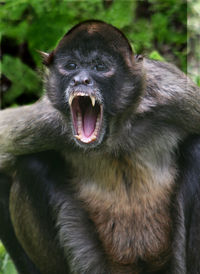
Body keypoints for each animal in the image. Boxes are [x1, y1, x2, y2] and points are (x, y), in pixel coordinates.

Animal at [0, 20, 200, 272]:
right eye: (71, 66)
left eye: (100, 66)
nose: (80, 80)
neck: (115, 137)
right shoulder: (45, 122)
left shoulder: (175, 95)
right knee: (32, 166)